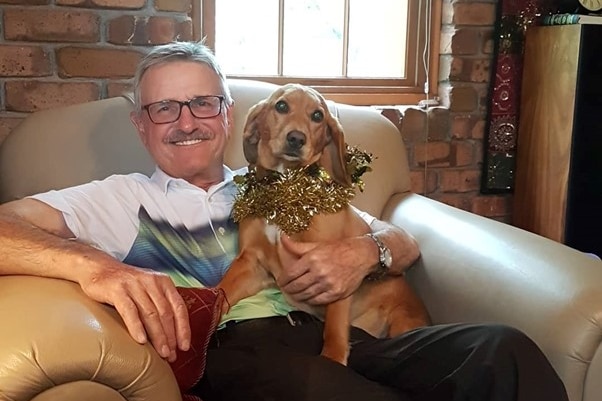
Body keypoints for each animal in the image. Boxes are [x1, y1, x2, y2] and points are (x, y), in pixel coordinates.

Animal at [216, 83, 426, 364]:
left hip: (401, 322)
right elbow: (219, 292)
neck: (285, 191)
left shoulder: (333, 273)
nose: (296, 138)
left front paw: (333, 357)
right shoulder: (253, 264)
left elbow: (334, 329)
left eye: (317, 116)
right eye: (281, 106)